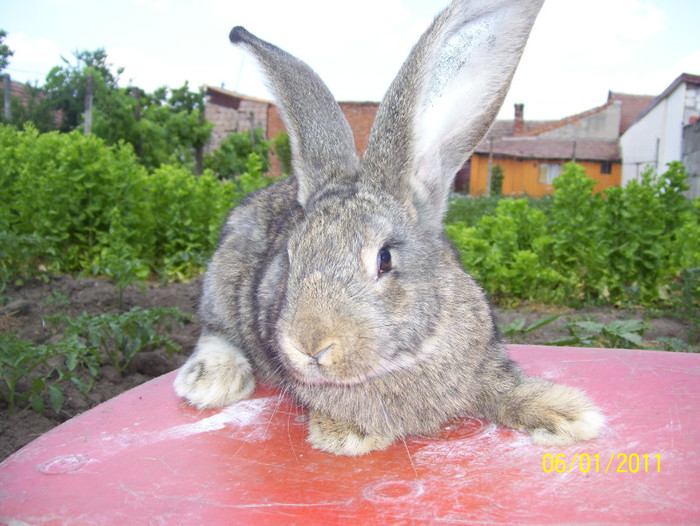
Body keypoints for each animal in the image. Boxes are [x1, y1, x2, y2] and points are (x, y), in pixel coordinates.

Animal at [172, 0, 604, 456]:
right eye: (289, 259)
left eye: (384, 259)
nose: (311, 344)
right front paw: (346, 433)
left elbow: (504, 387)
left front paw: (568, 415)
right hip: (222, 284)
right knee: (213, 329)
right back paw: (211, 380)